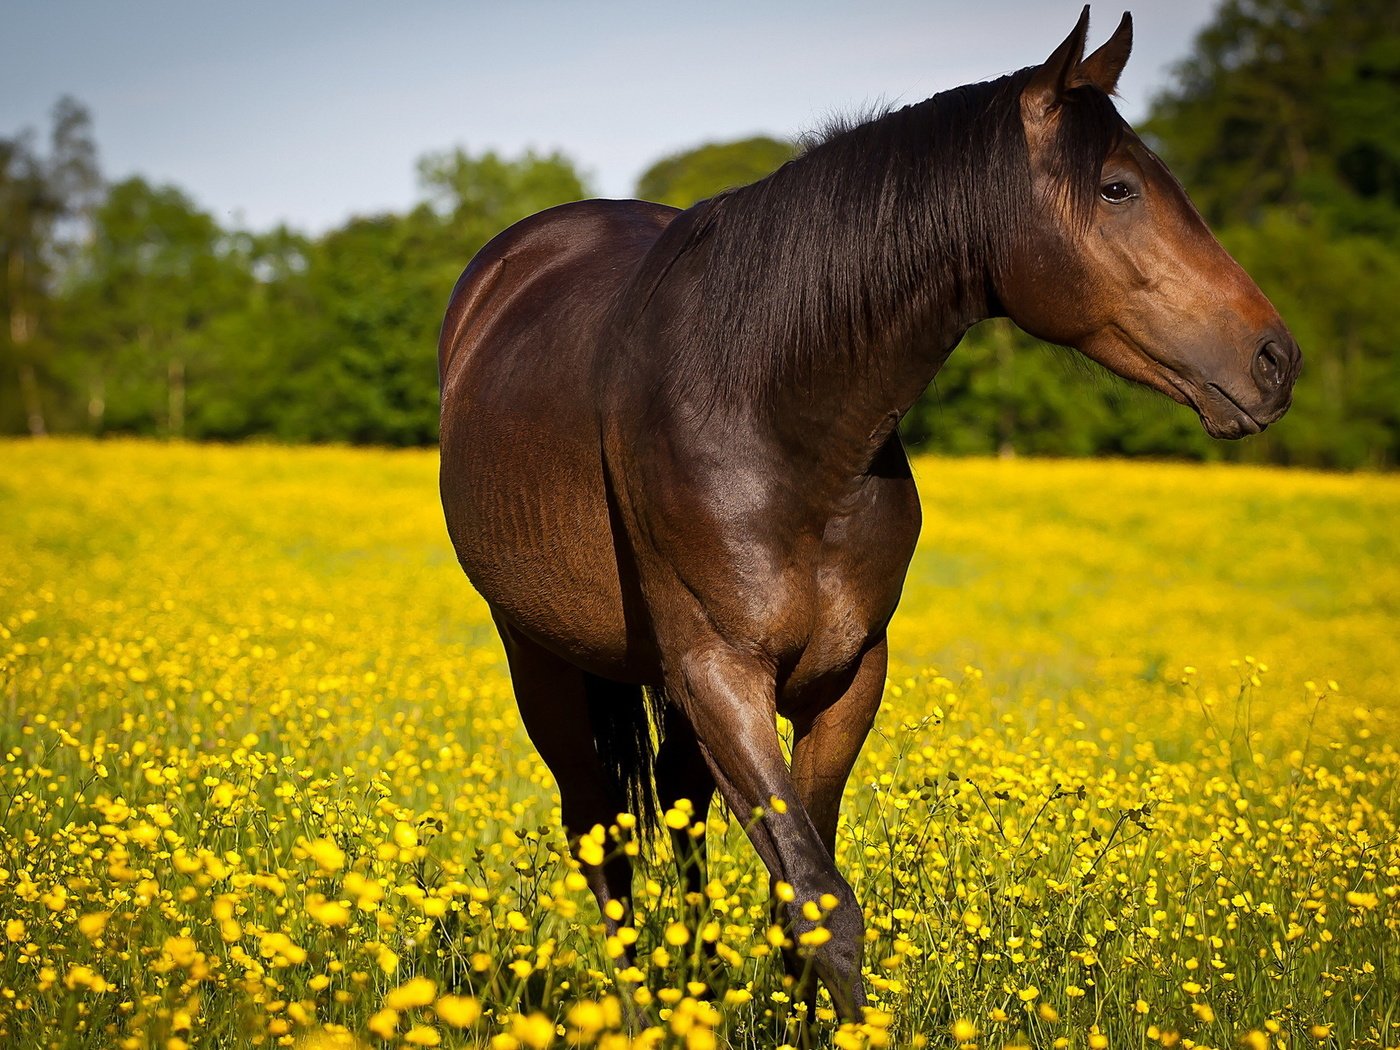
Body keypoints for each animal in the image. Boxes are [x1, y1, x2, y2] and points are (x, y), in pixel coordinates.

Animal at [436, 6, 1299, 1019]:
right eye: (1118, 188)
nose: (1276, 359)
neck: (773, 414)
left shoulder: (846, 676)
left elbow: (800, 899)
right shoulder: (721, 674)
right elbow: (820, 901)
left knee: (681, 820)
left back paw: (692, 989)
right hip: (542, 658)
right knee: (598, 829)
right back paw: (642, 1005)